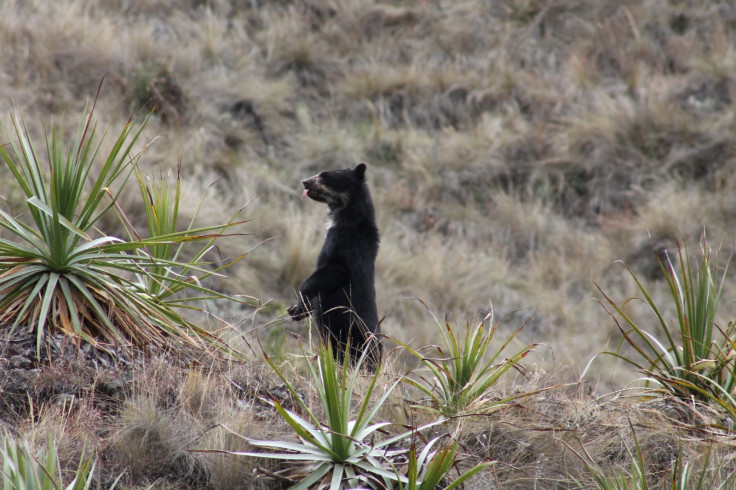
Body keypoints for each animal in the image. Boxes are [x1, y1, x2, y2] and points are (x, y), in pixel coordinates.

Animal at [288, 163, 382, 370]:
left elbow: (331, 271)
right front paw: (295, 310)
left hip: (350, 338)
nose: (305, 181)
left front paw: (300, 305)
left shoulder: (343, 243)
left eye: (326, 175)